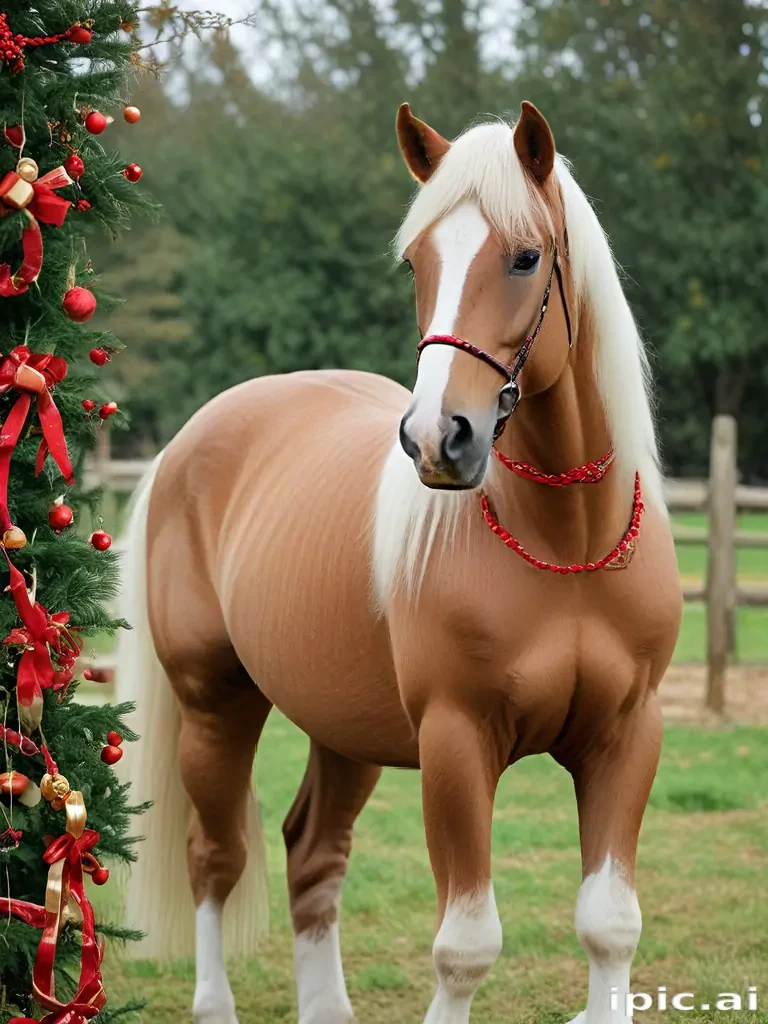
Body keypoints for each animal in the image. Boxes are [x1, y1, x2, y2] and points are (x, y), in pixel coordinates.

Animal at [117, 101, 682, 1024]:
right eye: (418, 259)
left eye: (526, 257)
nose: (437, 438)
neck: (567, 549)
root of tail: (188, 443)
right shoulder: (457, 743)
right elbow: (465, 947)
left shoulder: (625, 736)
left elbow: (610, 925)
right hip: (215, 703)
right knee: (215, 856)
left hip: (343, 726)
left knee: (312, 850)